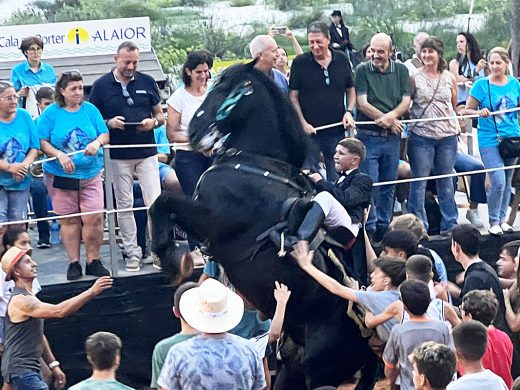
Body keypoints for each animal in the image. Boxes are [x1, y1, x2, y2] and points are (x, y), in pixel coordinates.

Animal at [148, 59, 372, 388]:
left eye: (226, 88)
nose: (194, 130)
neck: (254, 164)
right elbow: (162, 204)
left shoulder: (212, 219)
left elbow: (162, 203)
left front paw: (172, 258)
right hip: (291, 367)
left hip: (318, 368)